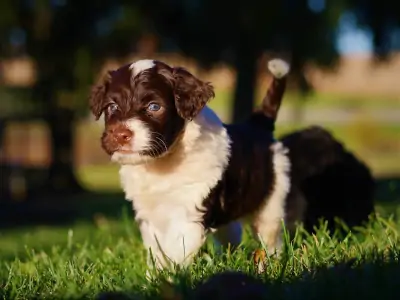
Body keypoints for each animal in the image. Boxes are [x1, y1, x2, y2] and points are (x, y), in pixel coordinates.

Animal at [89, 58, 292, 270]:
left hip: (272, 201)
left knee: (271, 234)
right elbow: (157, 250)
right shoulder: (149, 214)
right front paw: (155, 274)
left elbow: (177, 248)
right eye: (111, 106)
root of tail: (258, 125)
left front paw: (172, 274)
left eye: (154, 107)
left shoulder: (190, 210)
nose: (120, 134)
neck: (163, 162)